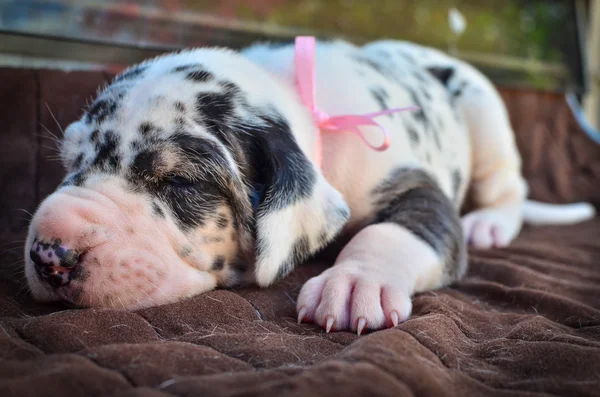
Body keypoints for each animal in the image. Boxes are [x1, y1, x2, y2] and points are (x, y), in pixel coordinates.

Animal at [24, 38, 596, 332]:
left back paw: (491, 223)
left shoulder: (416, 187)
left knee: (509, 187)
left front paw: (357, 281)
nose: (50, 254)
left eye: (180, 182)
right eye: (69, 164)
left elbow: (390, 232)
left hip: (484, 111)